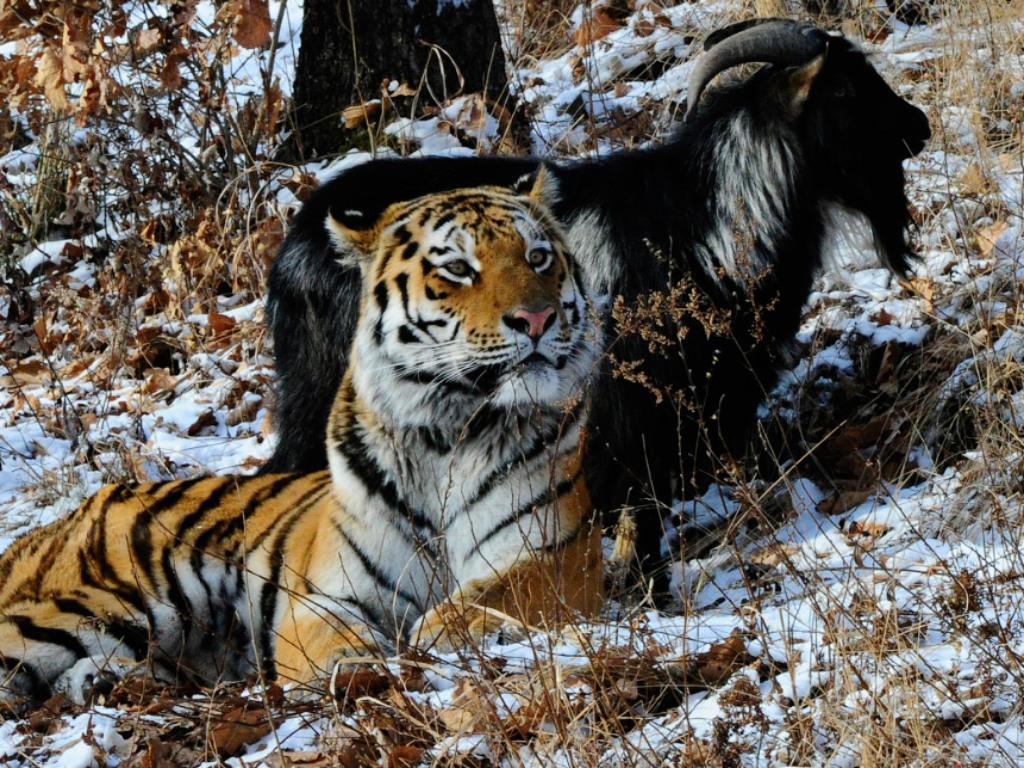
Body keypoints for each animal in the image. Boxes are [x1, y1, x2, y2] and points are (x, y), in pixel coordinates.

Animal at [0, 176, 602, 708]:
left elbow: (505, 593)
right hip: (98, 607)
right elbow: (328, 637)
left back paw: (105, 684)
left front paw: (444, 630)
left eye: (538, 257)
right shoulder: (326, 595)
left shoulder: (556, 556)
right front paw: (361, 667)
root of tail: (58, 522)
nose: (537, 318)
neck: (448, 430)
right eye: (457, 267)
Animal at [262, 16, 929, 593]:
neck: (709, 221)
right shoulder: (637, 405)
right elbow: (642, 500)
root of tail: (300, 241)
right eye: (842, 87)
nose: (918, 126)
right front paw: (647, 587)